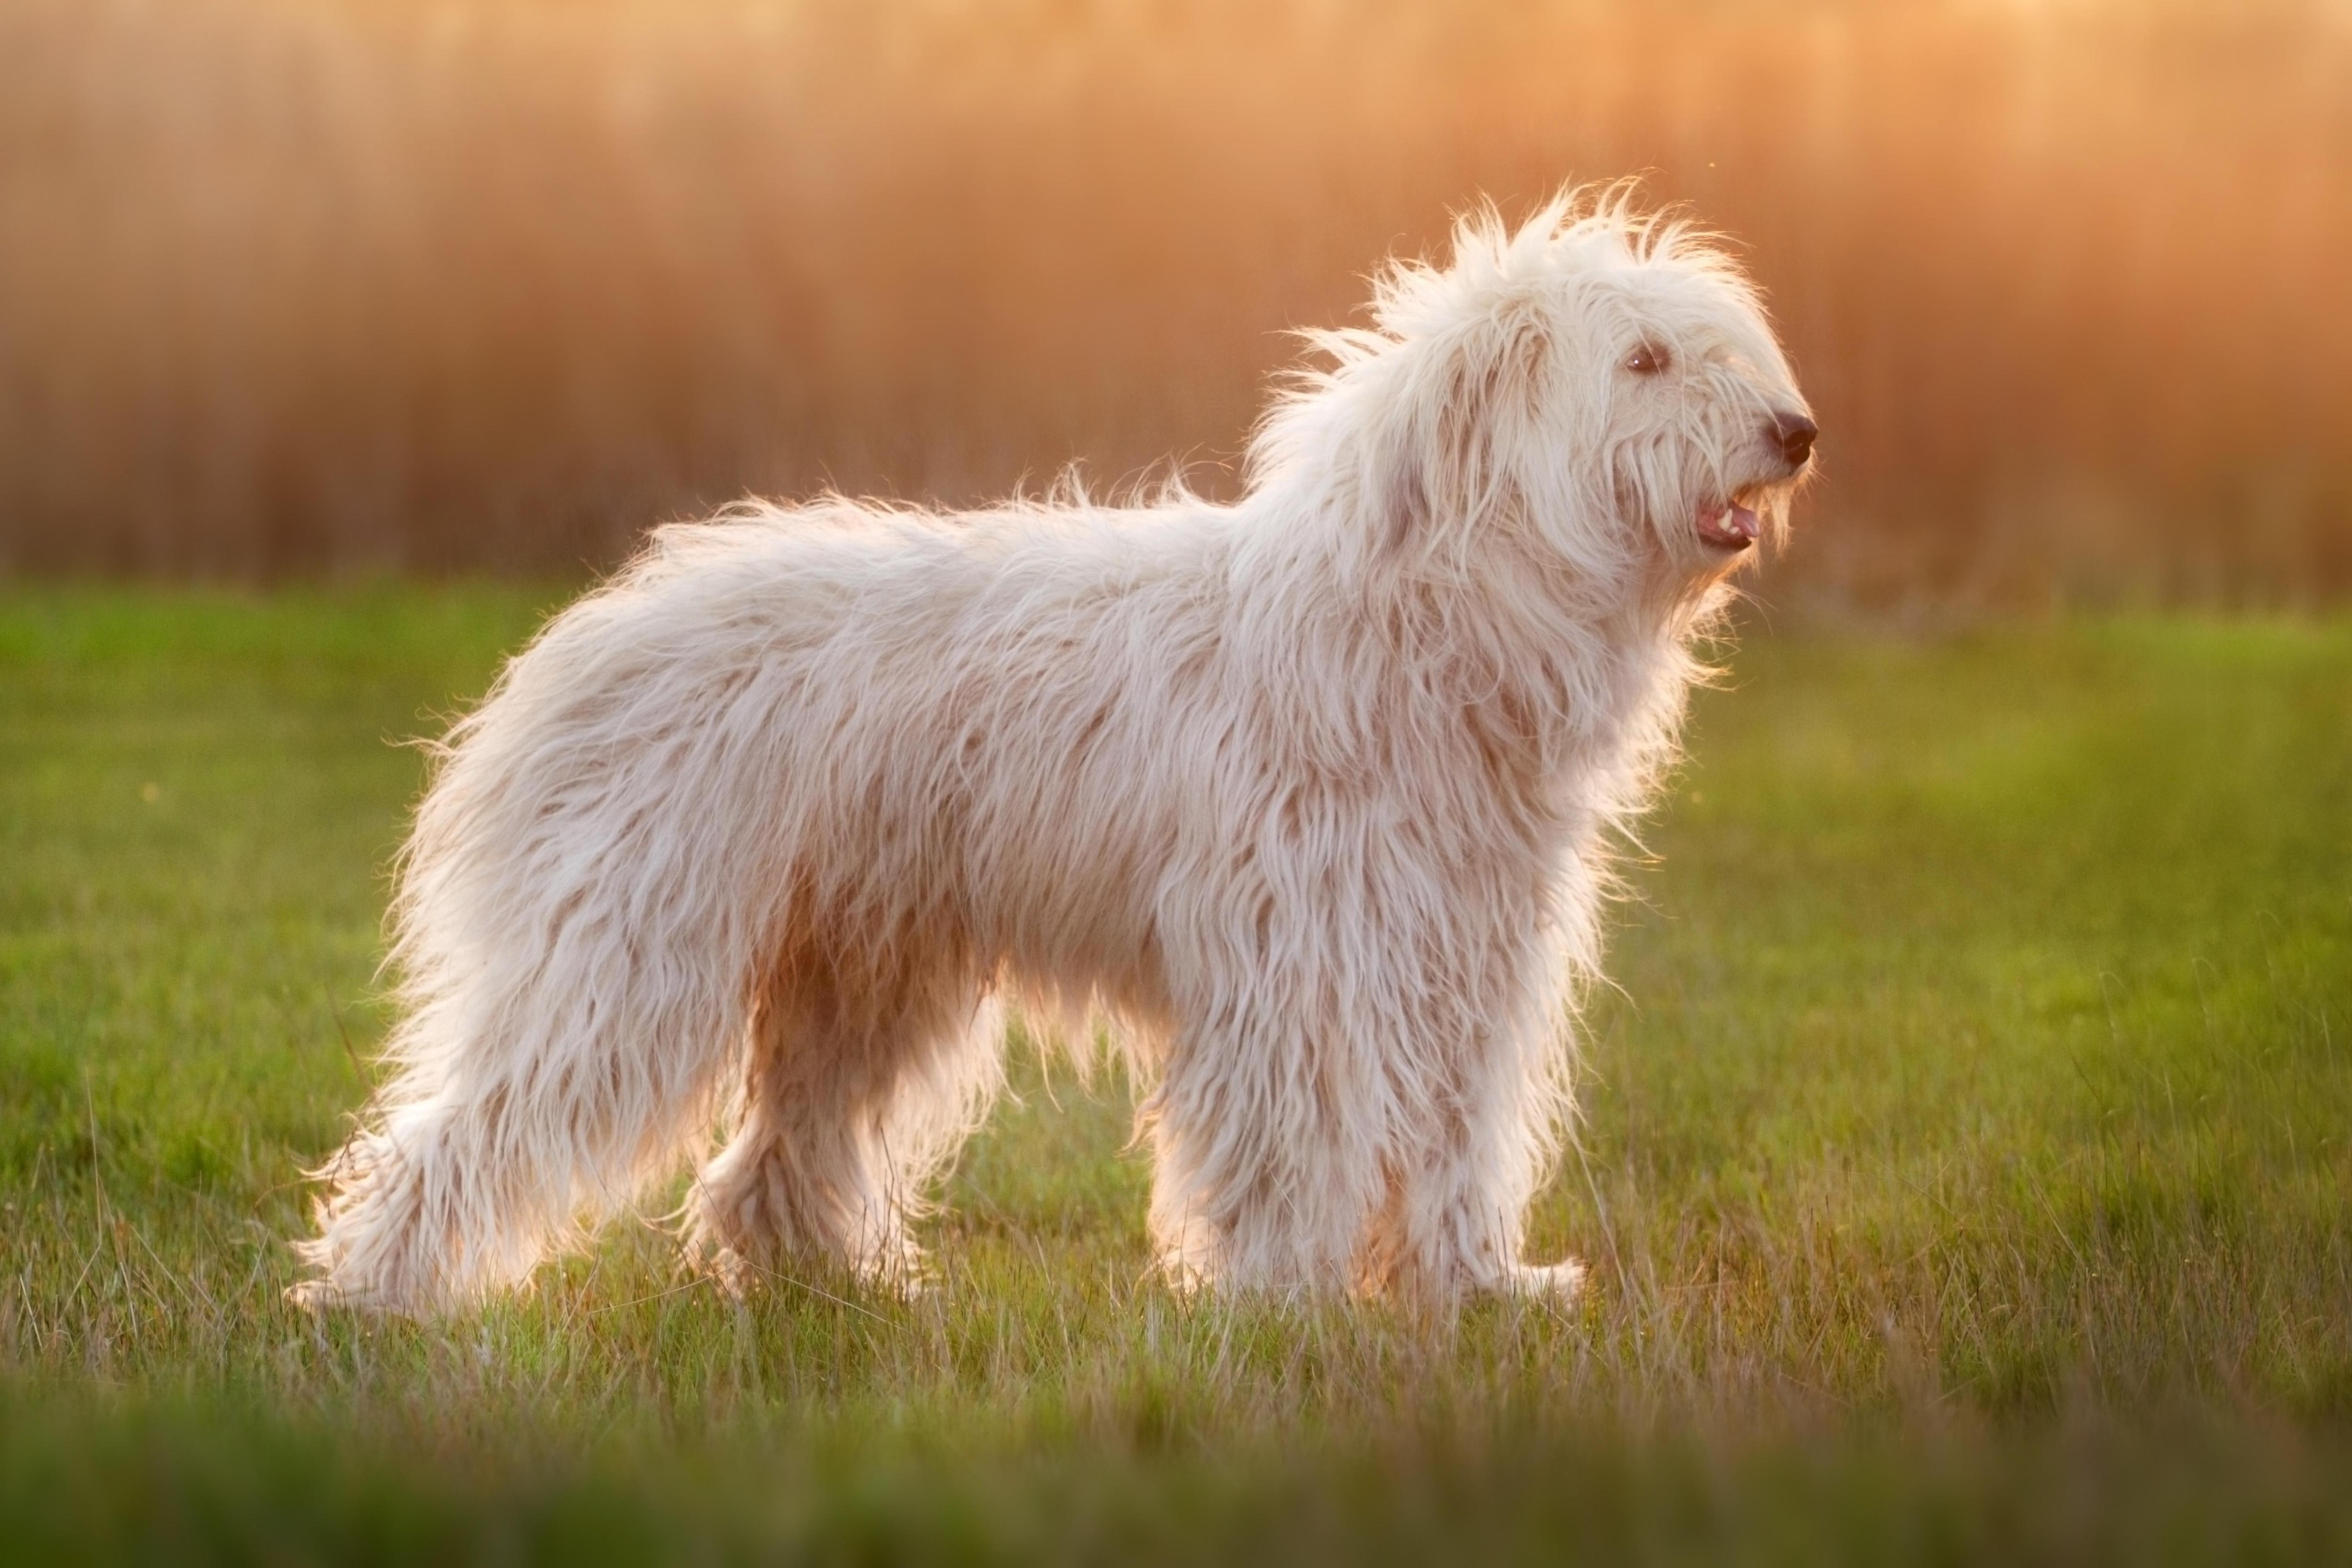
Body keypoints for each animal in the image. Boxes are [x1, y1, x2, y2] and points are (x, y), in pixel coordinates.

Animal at [285, 187, 1806, 1316]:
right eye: (1644, 361)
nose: (1794, 432)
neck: (1416, 616)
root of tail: (580, 638)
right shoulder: (1302, 965)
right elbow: (1302, 1137)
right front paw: (1291, 1303)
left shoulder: (1464, 962)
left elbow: (1455, 1138)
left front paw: (1475, 1288)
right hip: (631, 957)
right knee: (463, 1129)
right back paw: (376, 1297)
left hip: (861, 972)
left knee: (777, 1154)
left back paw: (832, 1290)